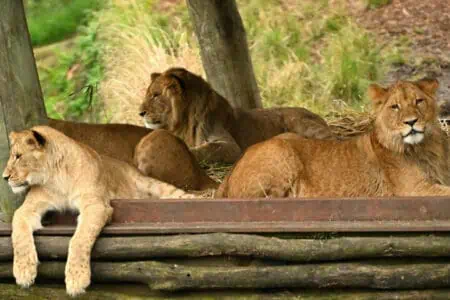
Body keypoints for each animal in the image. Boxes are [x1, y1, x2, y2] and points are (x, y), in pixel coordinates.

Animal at [1, 125, 195, 296]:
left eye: (18, 156)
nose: (5, 177)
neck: (56, 177)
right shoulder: (29, 207)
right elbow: (18, 231)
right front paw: (23, 271)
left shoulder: (96, 205)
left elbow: (80, 239)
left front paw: (77, 279)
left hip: (150, 184)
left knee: (176, 193)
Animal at [139, 67, 336, 164]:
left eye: (155, 95)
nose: (140, 113)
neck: (184, 121)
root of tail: (315, 113)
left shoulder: (231, 147)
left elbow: (207, 149)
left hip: (303, 123)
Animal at [215, 78, 450, 198]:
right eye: (395, 107)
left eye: (419, 101)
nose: (411, 122)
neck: (425, 148)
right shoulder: (413, 190)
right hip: (280, 152)